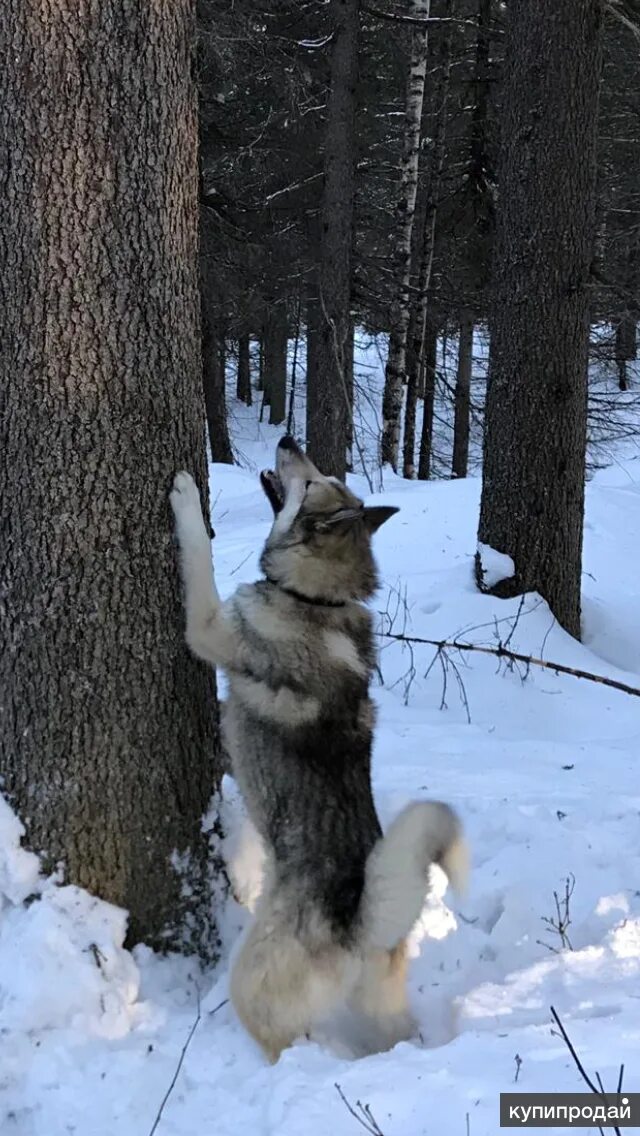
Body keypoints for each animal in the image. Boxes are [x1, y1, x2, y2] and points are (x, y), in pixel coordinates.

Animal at [170, 436, 468, 1063]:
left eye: (309, 483)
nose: (287, 440)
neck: (316, 598)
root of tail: (359, 924)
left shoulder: (209, 628)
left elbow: (198, 555)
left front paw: (185, 497)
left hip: (253, 981)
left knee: (280, 1042)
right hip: (380, 1005)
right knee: (393, 1035)